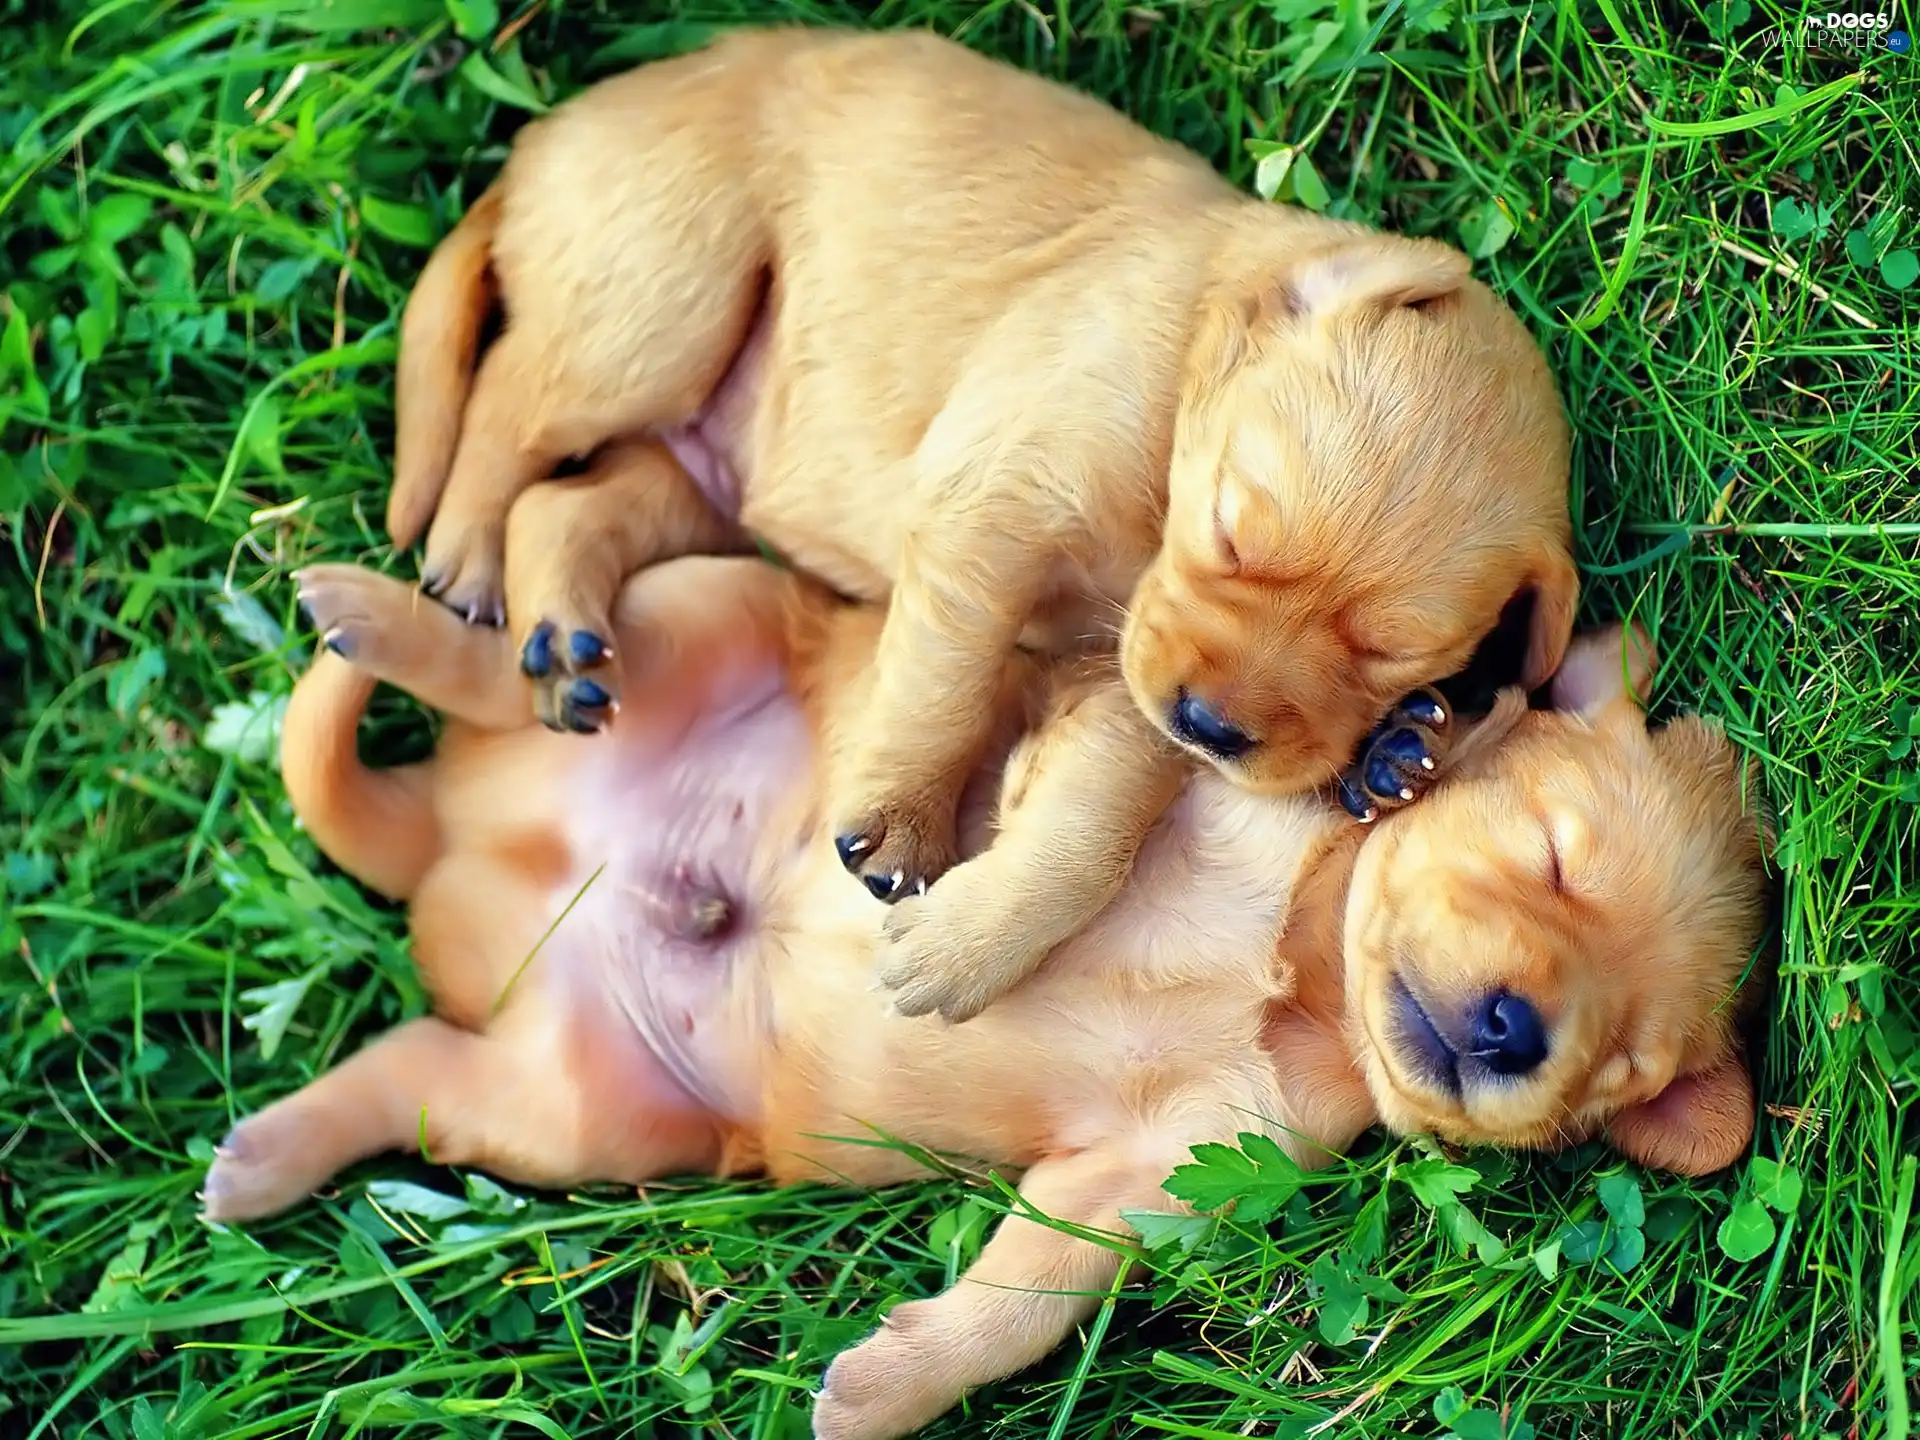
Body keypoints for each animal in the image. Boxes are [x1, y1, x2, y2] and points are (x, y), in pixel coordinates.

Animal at [214, 464, 1766, 1440]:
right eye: (1554, 850)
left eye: (1624, 1072)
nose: (1514, 1029)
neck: (1294, 966)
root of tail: (451, 842)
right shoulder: (1121, 721)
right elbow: (1084, 812)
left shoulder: (1159, 1179)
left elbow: (1024, 1301)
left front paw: (883, 1390)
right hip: (711, 609)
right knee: (522, 663)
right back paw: (383, 613)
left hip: (571, 1115)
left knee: (413, 1061)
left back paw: (265, 1157)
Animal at [385, 25, 1574, 1029]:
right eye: (1232, 530)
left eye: (1390, 658)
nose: (1211, 726)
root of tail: (543, 136)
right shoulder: (996, 511)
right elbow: (945, 683)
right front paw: (902, 818)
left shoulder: (1118, 681)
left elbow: (1091, 824)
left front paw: (970, 941)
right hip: (661, 299)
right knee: (510, 407)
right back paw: (468, 553)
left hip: (699, 469)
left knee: (570, 501)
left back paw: (564, 641)